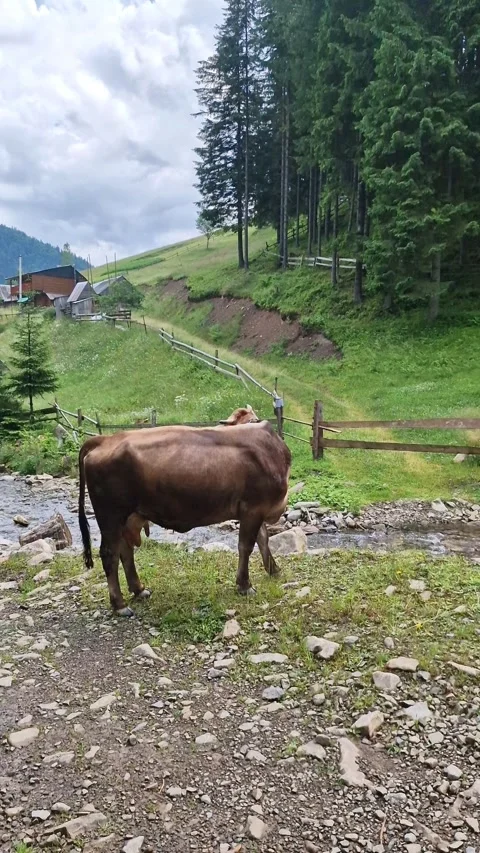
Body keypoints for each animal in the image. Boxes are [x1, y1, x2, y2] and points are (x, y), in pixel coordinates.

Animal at [78, 406, 291, 616]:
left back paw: (139, 590)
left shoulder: (255, 509)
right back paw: (119, 605)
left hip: (127, 517)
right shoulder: (253, 507)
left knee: (125, 550)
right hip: (110, 515)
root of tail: (106, 439)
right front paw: (245, 585)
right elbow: (246, 546)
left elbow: (263, 539)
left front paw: (273, 569)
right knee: (109, 554)